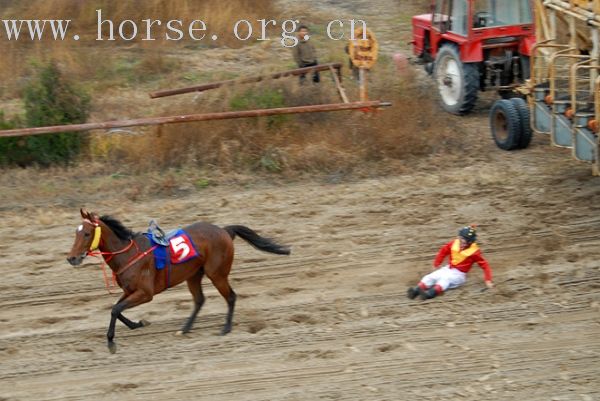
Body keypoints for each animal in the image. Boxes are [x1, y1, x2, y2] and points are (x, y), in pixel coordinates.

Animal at [67, 208, 290, 352]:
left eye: (87, 233)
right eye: (76, 233)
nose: (72, 258)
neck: (128, 253)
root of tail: (224, 230)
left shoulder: (145, 293)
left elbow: (115, 309)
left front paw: (111, 342)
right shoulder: (130, 291)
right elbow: (116, 309)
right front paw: (138, 324)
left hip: (217, 274)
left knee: (231, 297)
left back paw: (225, 328)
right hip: (193, 275)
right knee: (200, 300)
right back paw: (185, 328)